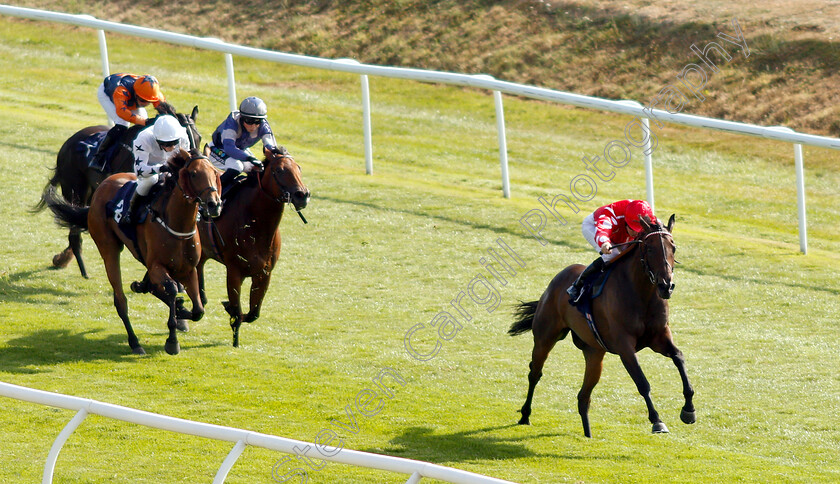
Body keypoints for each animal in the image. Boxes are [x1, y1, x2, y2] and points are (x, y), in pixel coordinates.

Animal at [32, 105, 200, 280]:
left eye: (199, 137)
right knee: (74, 230)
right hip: (75, 190)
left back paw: (65, 258)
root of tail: (68, 143)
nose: (190, 159)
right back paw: (79, 267)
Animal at [46, 150, 221, 356]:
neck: (176, 223)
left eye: (215, 172)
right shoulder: (157, 266)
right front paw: (172, 341)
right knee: (120, 300)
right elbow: (171, 289)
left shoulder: (188, 269)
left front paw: (180, 311)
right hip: (109, 249)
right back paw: (135, 341)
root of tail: (102, 186)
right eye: (194, 174)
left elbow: (198, 310)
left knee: (154, 289)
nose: (214, 204)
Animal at [196, 146, 308, 346]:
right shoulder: (234, 271)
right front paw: (235, 336)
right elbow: (237, 310)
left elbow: (253, 313)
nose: (302, 195)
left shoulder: (264, 273)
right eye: (279, 170)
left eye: (299, 168)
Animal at [508, 215, 692, 434]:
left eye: (674, 247)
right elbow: (642, 382)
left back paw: (587, 434)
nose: (666, 286)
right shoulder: (624, 346)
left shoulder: (659, 337)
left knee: (583, 396)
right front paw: (657, 420)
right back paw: (525, 415)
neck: (642, 294)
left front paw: (689, 410)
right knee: (535, 373)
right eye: (649, 248)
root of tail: (557, 279)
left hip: (594, 353)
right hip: (545, 337)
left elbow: (679, 357)